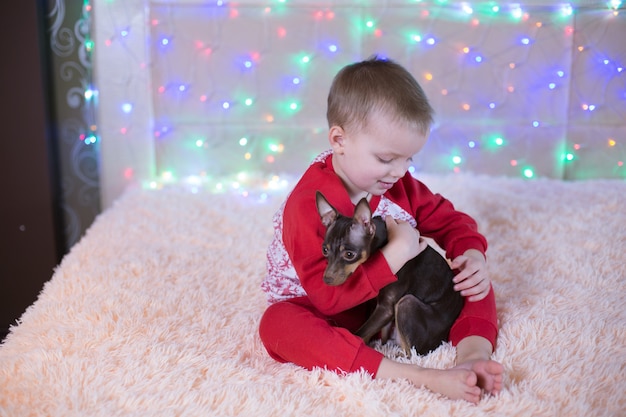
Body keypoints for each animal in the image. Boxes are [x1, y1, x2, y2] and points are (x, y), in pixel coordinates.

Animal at [314, 190, 460, 352]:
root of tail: (442, 341)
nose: (326, 279)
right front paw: (378, 345)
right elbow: (376, 333)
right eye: (324, 250)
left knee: (411, 353)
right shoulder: (382, 309)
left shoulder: (386, 309)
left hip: (407, 303)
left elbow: (360, 333)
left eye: (349, 255)